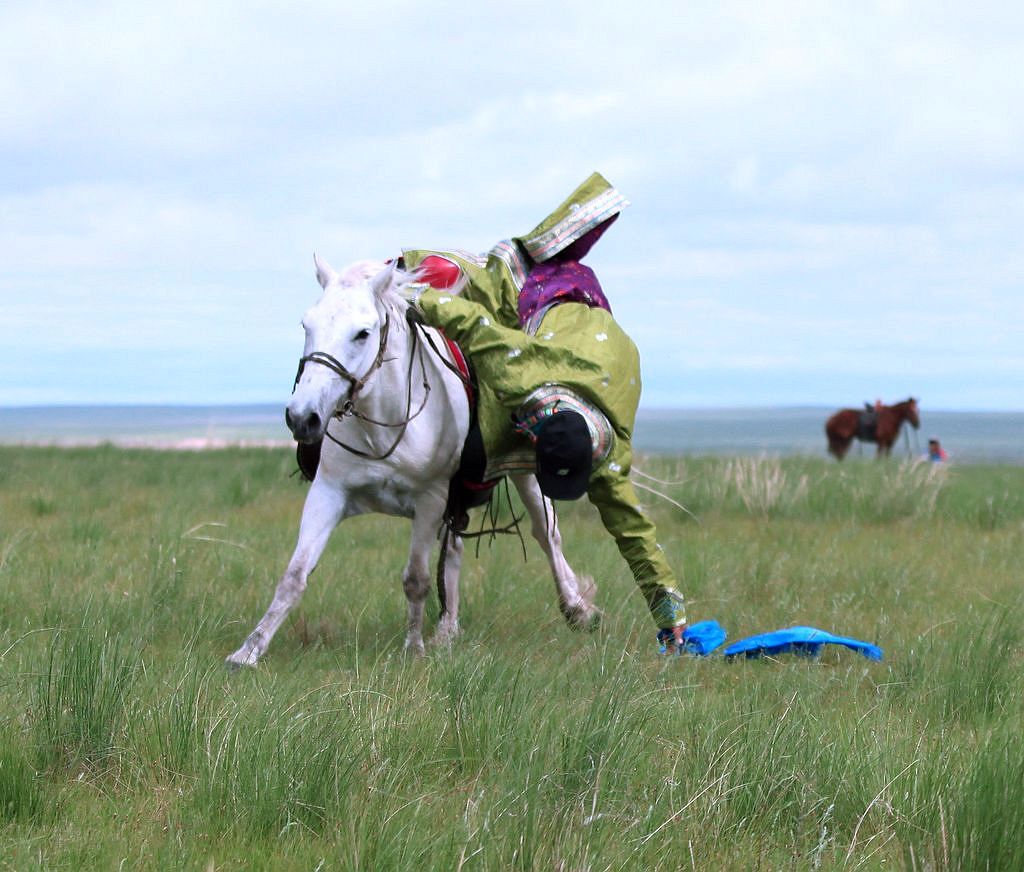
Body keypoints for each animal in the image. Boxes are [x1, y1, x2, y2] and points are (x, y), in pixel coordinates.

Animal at [224, 255, 593, 663]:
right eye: (307, 324)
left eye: (363, 333)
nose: (302, 417)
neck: (382, 428)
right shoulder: (329, 492)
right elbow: (295, 574)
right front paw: (249, 650)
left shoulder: (431, 500)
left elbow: (415, 578)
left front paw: (413, 649)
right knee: (456, 549)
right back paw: (447, 632)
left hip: (522, 474)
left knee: (547, 534)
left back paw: (576, 608)